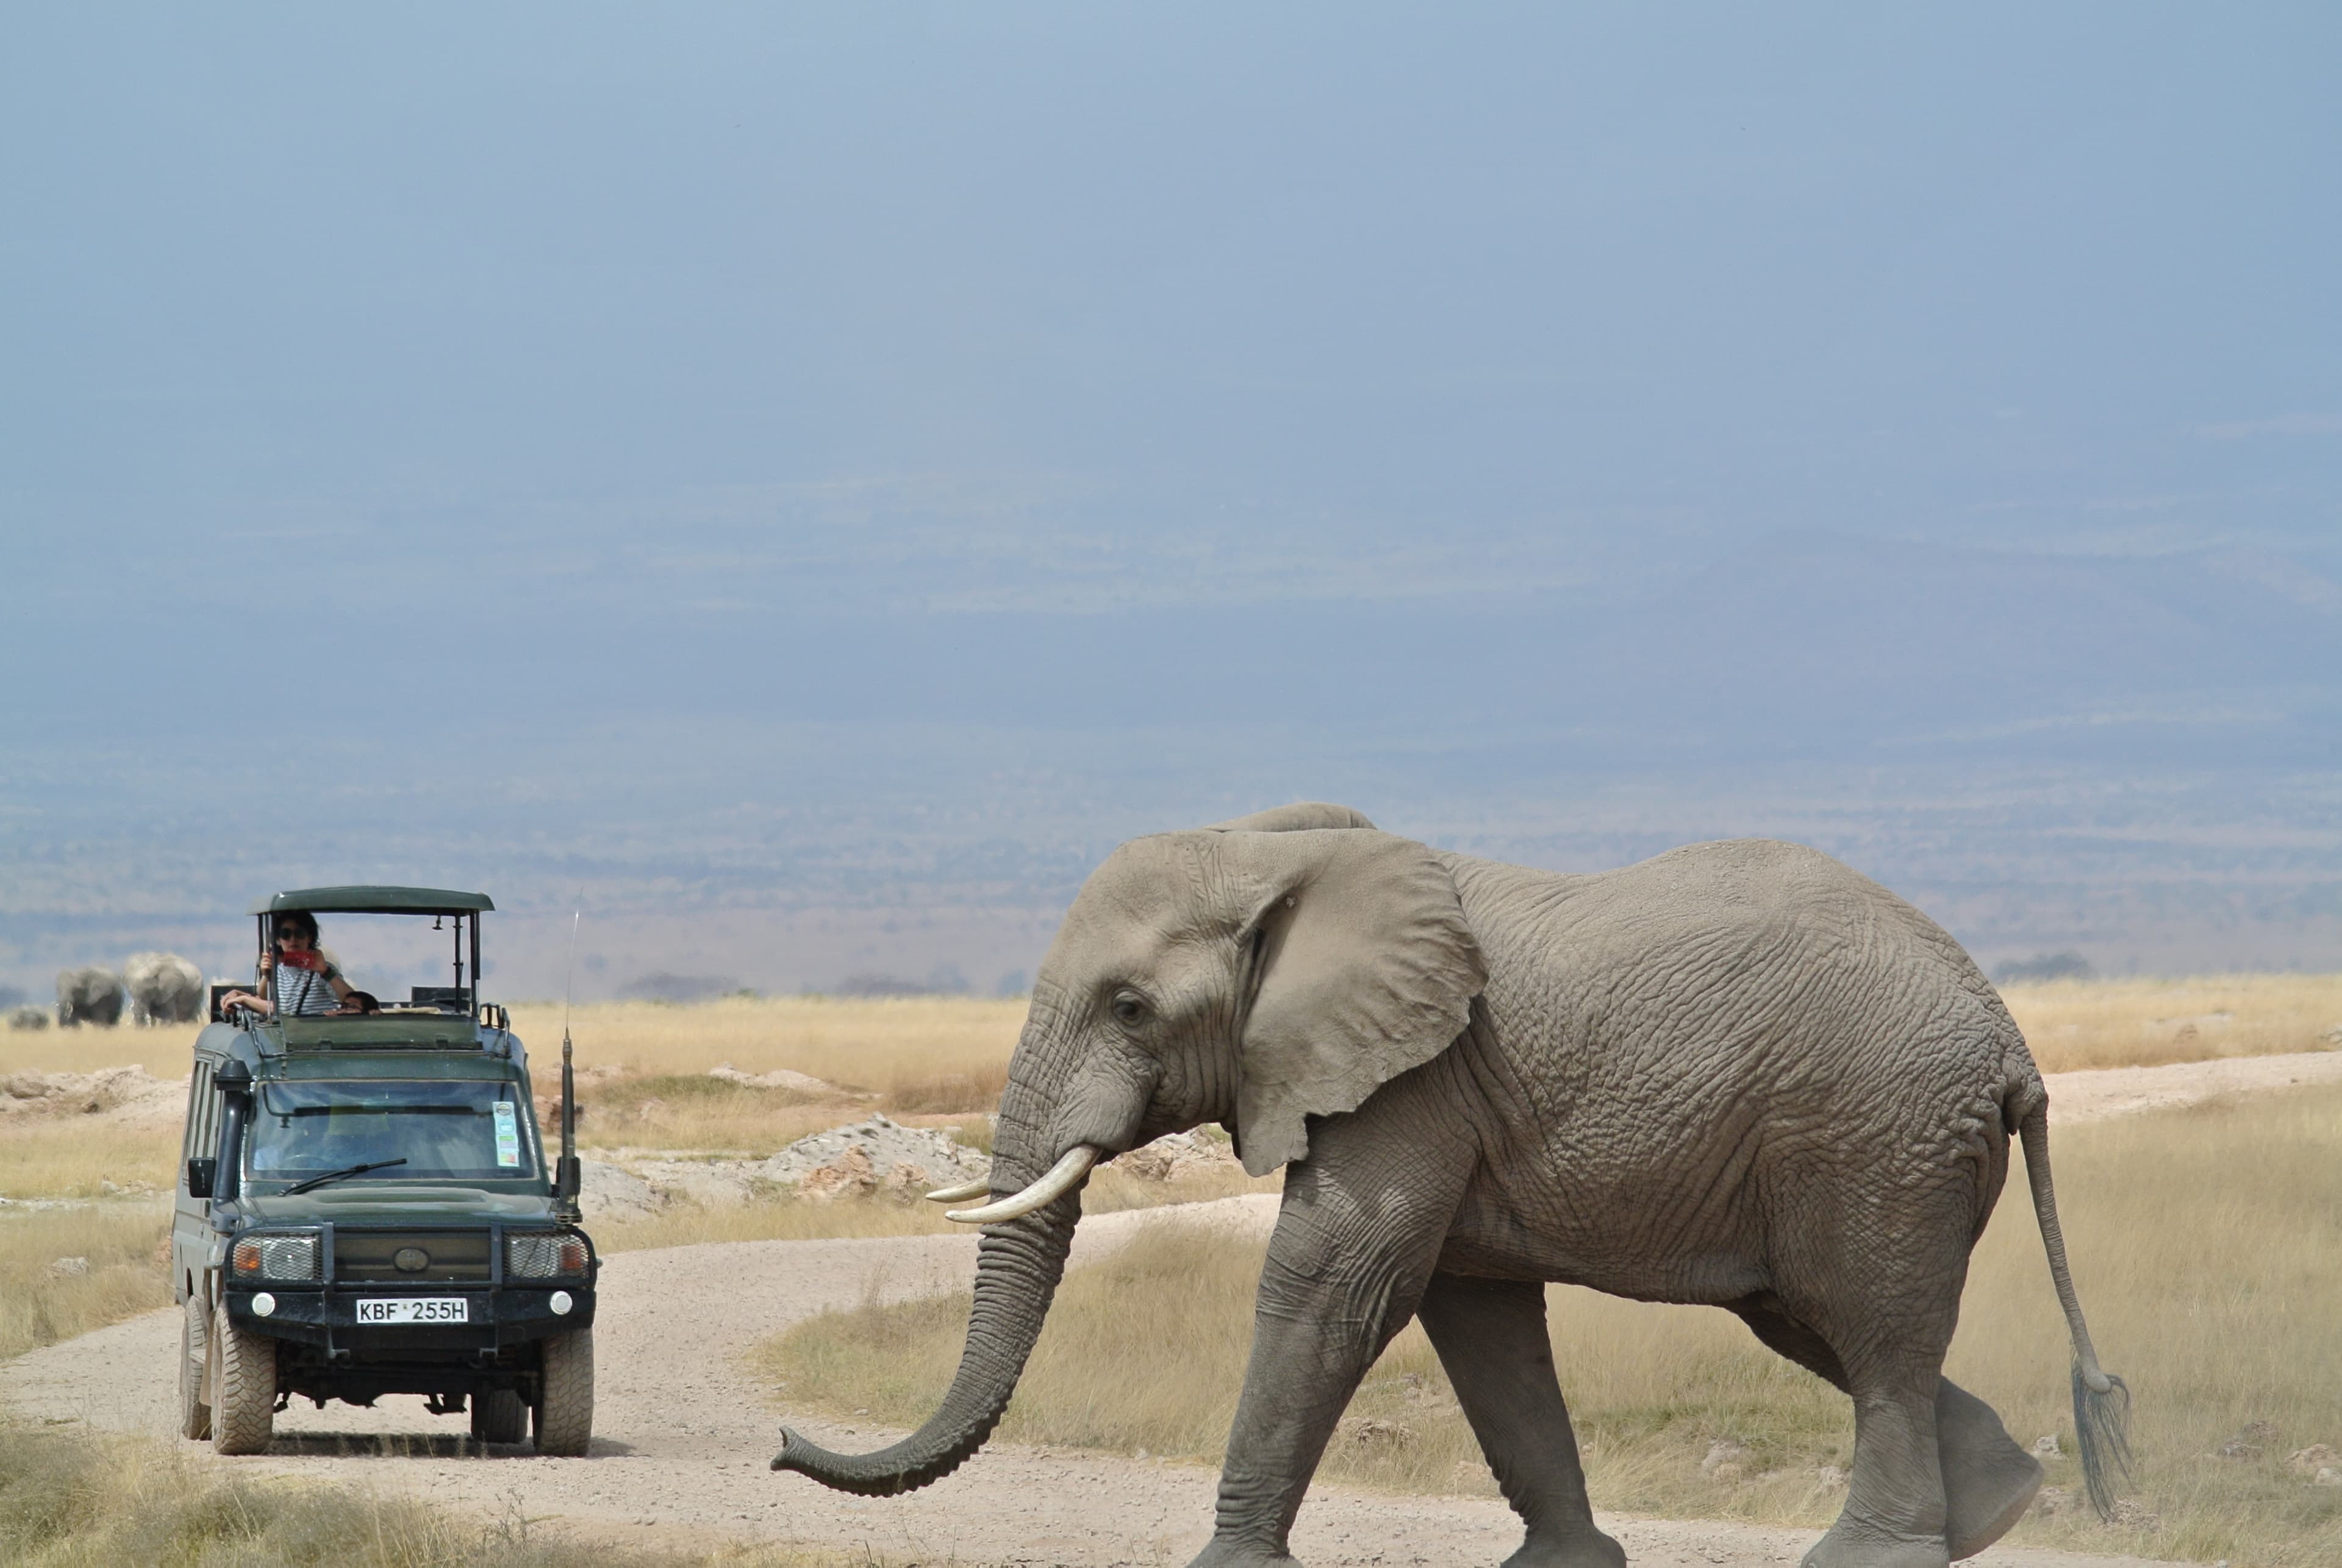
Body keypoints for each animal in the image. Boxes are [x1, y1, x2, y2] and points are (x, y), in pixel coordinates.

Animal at [771, 804, 2127, 1568]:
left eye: (1130, 1008)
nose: (781, 1446)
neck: (1286, 860)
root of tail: (2010, 1043)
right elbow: (1476, 1319)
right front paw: (1566, 1567)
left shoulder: (1409, 1080)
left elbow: (1337, 1280)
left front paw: (1223, 1564)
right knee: (1821, 1321)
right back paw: (1996, 1510)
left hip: (1873, 1131)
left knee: (1872, 1328)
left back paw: (1871, 1556)